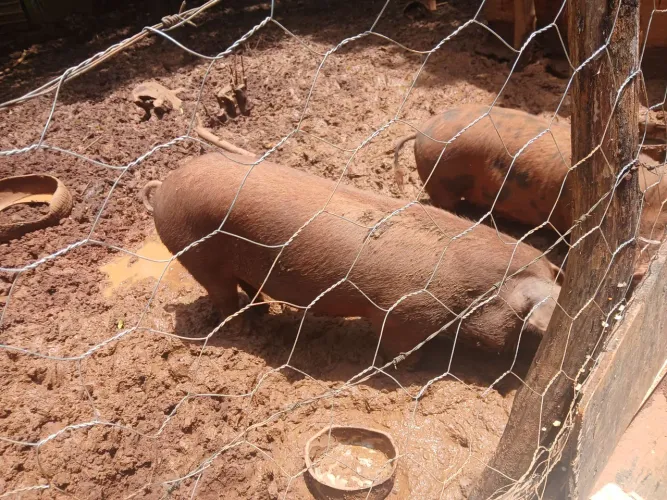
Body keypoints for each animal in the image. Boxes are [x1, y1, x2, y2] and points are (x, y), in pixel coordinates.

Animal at [142, 152, 561, 361]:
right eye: (531, 328)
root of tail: (164, 185)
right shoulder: (402, 314)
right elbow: (398, 349)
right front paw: (409, 370)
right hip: (195, 252)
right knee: (221, 295)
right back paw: (245, 330)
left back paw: (261, 314)